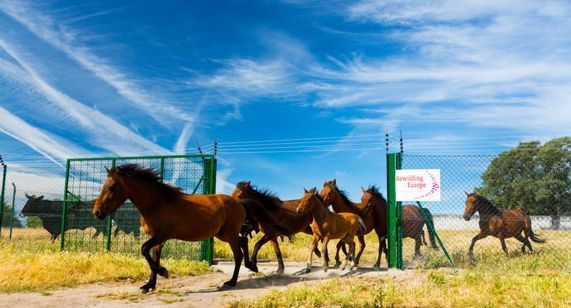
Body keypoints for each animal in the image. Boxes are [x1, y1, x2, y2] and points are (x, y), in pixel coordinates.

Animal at [92, 164, 258, 292]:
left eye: (111, 187)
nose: (97, 212)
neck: (156, 203)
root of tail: (240, 203)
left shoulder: (162, 235)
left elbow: (144, 249)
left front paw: (163, 272)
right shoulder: (156, 238)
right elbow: (154, 257)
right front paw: (149, 285)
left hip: (229, 234)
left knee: (238, 255)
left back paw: (232, 282)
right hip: (222, 234)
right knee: (243, 242)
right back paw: (252, 266)